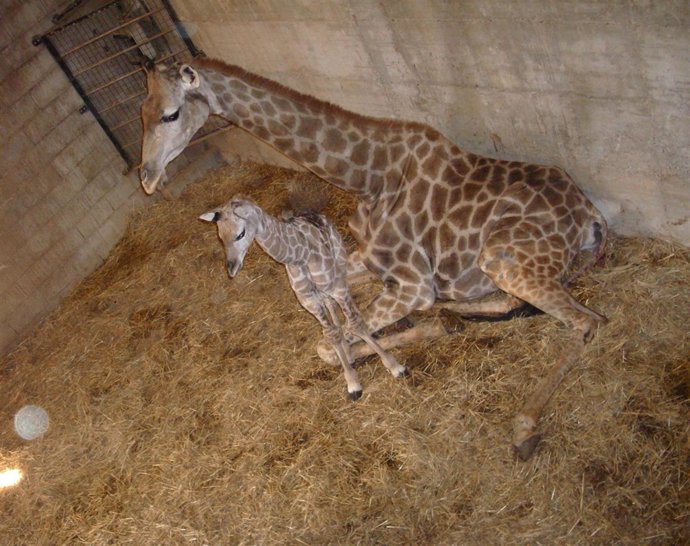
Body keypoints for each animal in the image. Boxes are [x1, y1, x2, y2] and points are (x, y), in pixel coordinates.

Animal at [199, 197, 409, 400]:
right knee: (333, 314)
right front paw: (352, 383)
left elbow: (356, 324)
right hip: (324, 293)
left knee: (350, 312)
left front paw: (396, 367)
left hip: (340, 269)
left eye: (240, 234)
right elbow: (331, 334)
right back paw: (348, 355)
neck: (300, 256)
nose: (231, 269)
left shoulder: (337, 288)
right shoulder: (310, 302)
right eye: (220, 237)